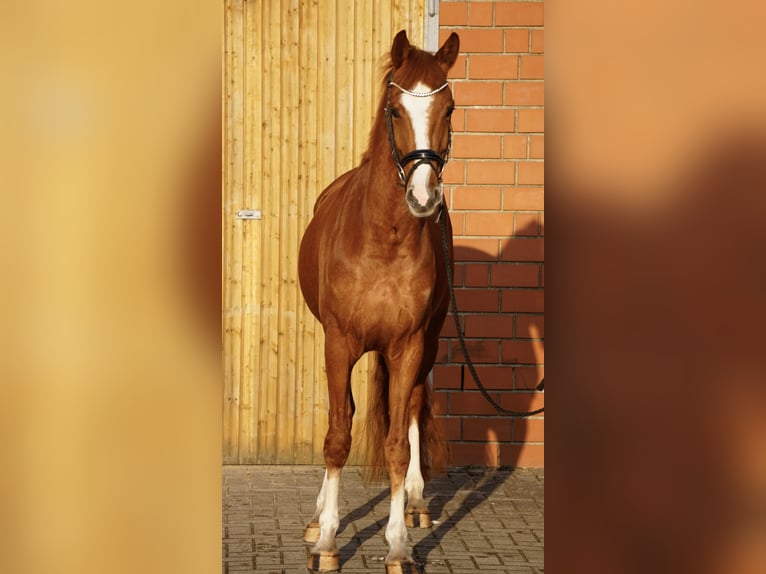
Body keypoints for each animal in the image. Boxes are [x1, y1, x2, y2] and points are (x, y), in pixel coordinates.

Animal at [297, 30, 460, 572]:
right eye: (394, 109)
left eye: (449, 108)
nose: (424, 198)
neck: (382, 241)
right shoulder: (338, 342)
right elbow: (336, 436)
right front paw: (328, 540)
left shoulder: (408, 345)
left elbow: (395, 444)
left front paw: (397, 545)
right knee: (343, 417)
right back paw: (317, 518)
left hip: (425, 343)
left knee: (409, 412)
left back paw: (414, 501)